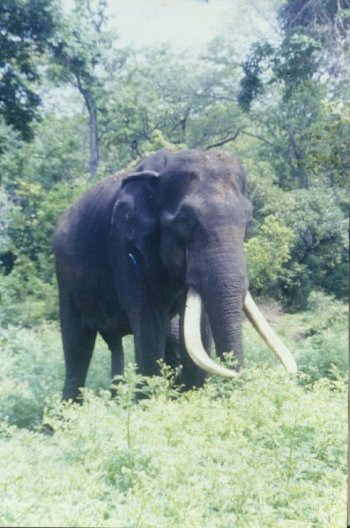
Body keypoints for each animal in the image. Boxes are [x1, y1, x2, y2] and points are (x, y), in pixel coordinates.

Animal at [54, 146, 296, 402]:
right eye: (185, 221)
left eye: (248, 221)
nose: (235, 375)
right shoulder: (124, 245)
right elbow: (149, 324)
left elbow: (197, 328)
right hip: (64, 278)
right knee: (77, 347)